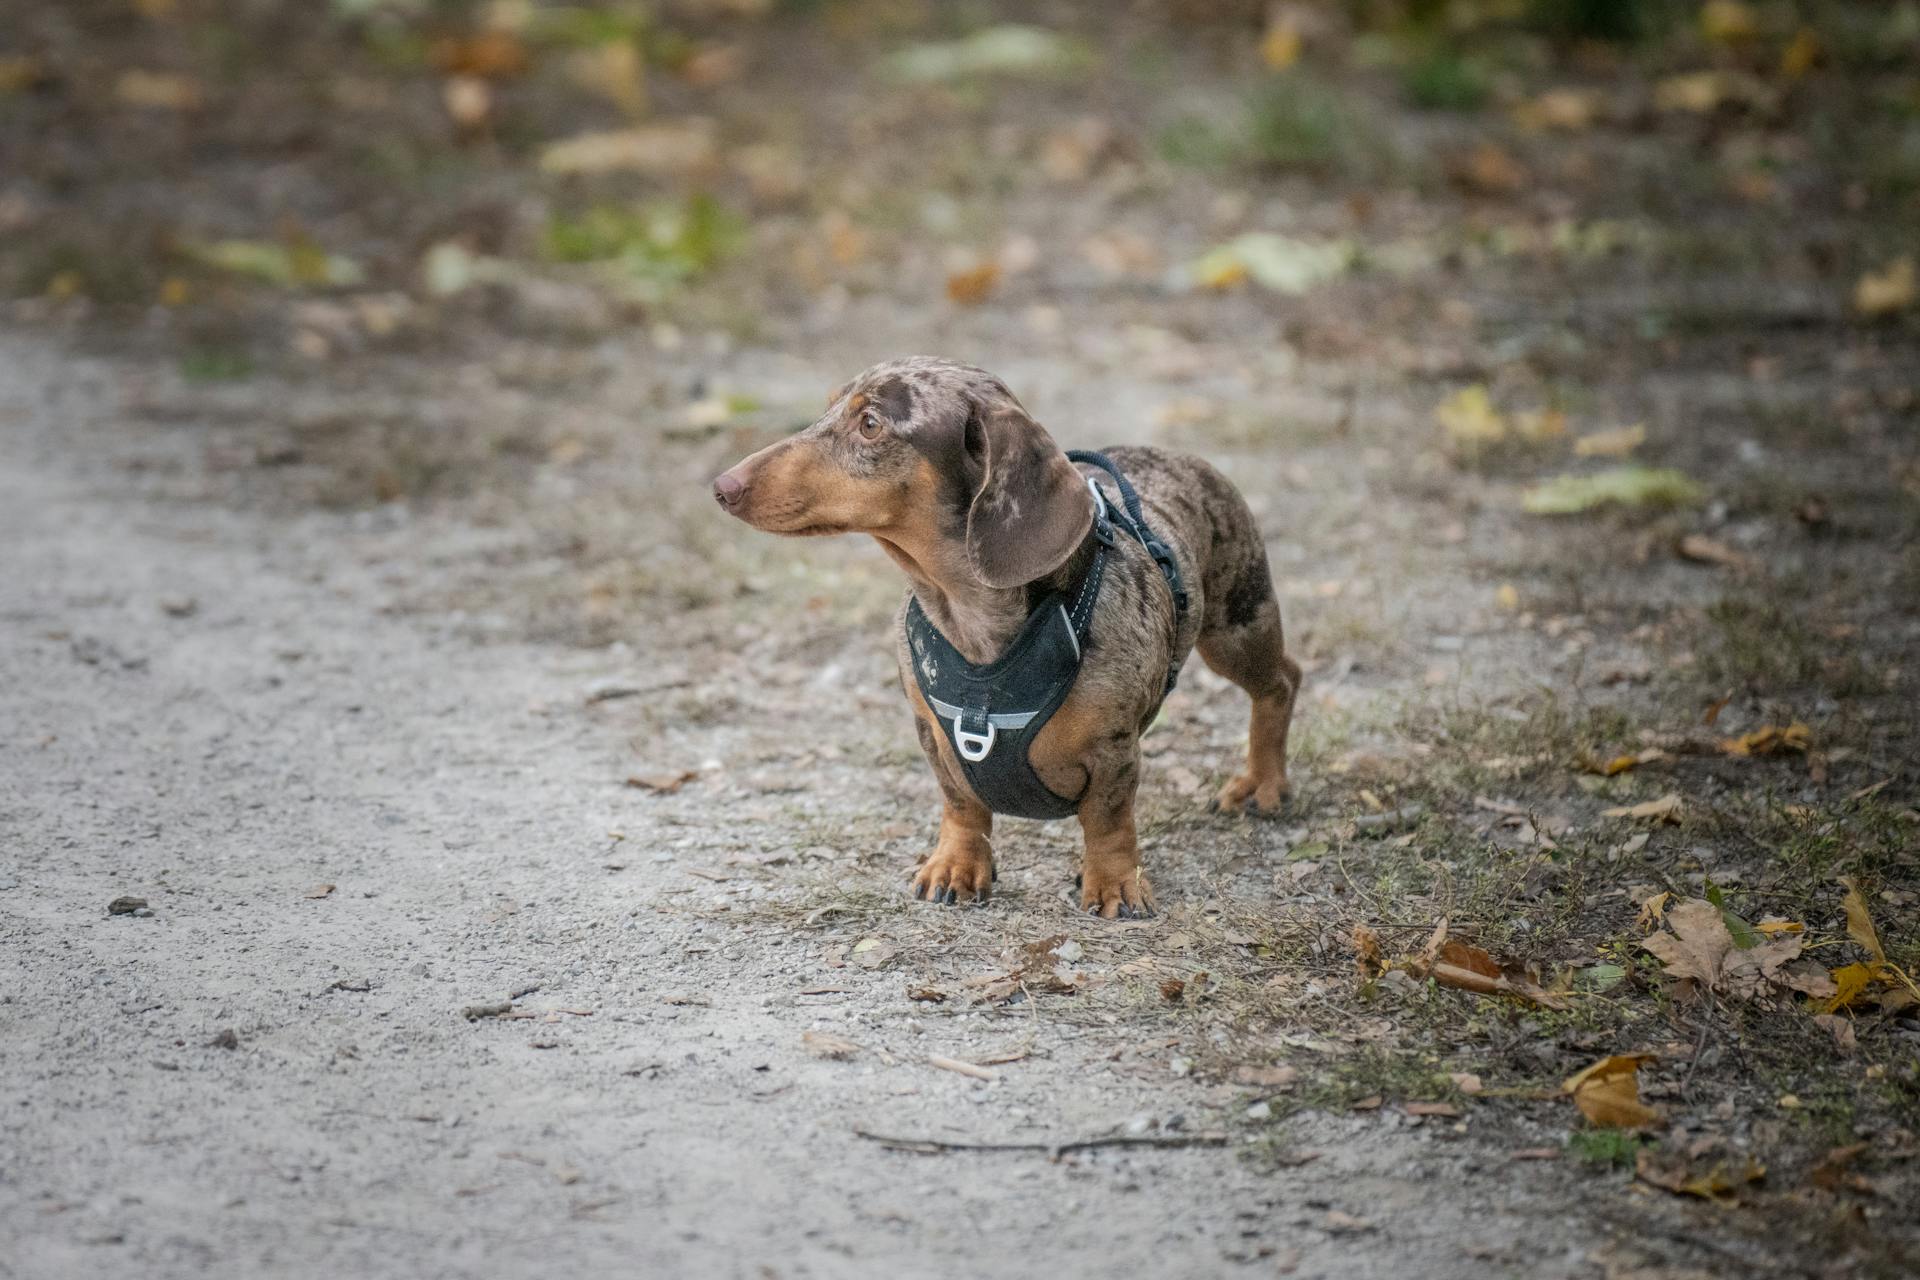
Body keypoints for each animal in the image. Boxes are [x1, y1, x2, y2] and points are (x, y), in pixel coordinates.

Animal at [714, 358, 1297, 921]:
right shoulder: (934, 736)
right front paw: (956, 865)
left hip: (1236, 627)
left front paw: (1115, 884)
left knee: (1282, 682)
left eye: (871, 424)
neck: (971, 620)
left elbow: (1108, 821)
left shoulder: (1114, 749)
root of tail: (1176, 454)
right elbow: (961, 803)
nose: (723, 487)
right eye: (829, 406)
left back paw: (1263, 784)